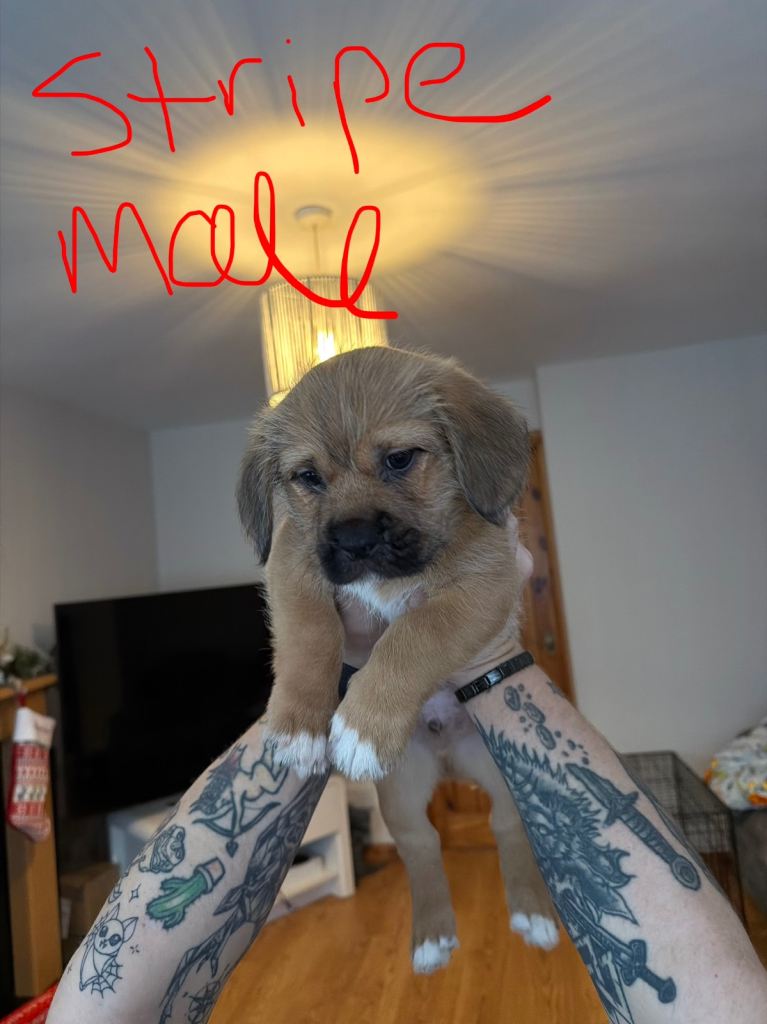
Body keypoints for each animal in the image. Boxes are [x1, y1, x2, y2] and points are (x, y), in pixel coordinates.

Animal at [237, 346, 558, 970]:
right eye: (308, 477)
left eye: (400, 460)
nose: (354, 539)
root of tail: (448, 757)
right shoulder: (292, 563)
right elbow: (311, 635)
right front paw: (299, 725)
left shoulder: (483, 588)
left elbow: (413, 634)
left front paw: (364, 726)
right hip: (403, 796)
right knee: (423, 848)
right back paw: (432, 937)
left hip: (500, 778)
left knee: (506, 828)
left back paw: (530, 914)